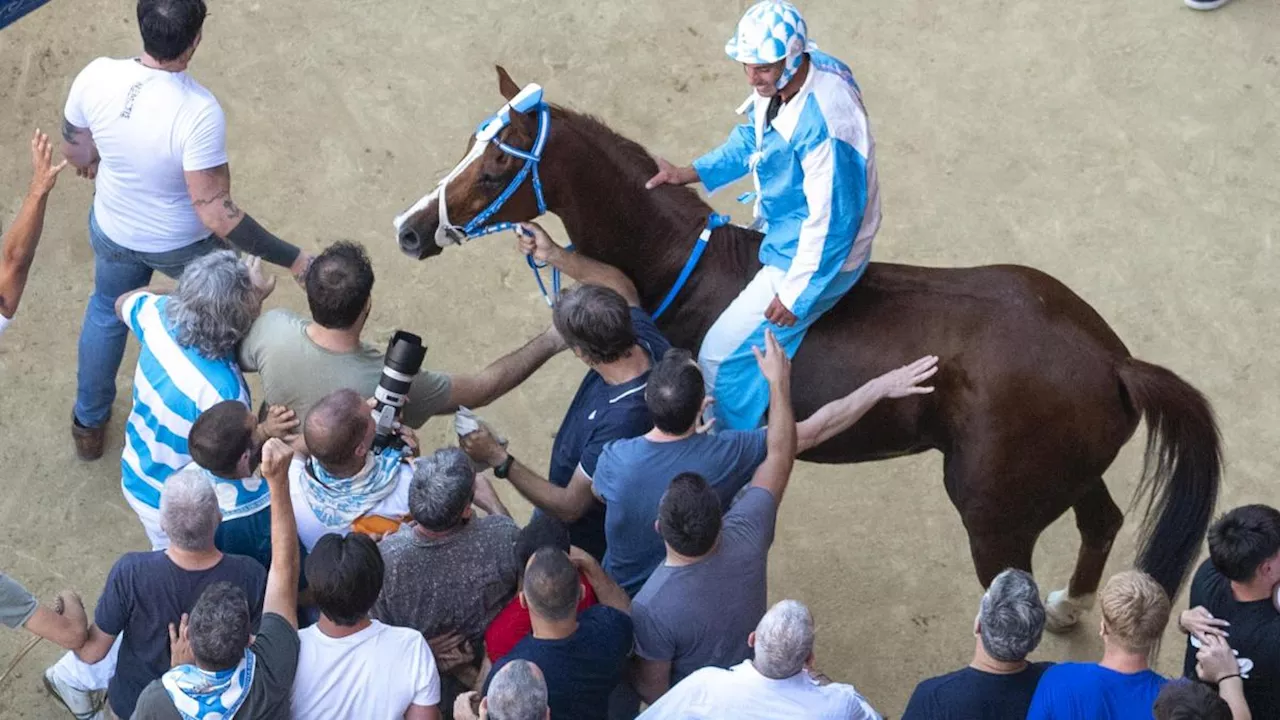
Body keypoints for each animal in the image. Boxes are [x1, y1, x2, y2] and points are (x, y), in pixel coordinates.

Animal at [391, 67, 1218, 627]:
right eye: (469, 142)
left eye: (499, 164)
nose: (409, 228)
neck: (676, 263)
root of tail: (1114, 361)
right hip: (1060, 477)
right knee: (1102, 522)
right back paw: (1075, 607)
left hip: (995, 516)